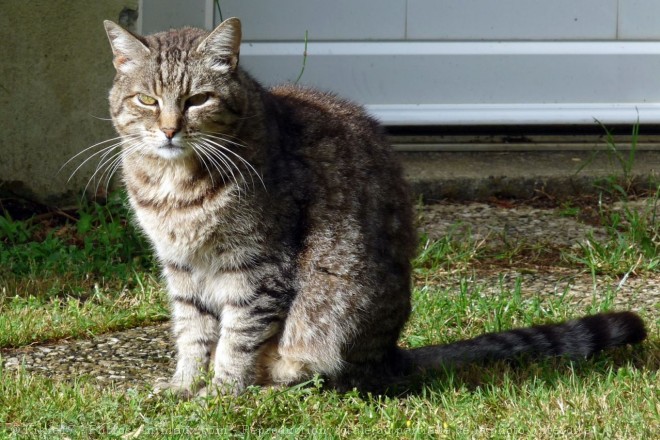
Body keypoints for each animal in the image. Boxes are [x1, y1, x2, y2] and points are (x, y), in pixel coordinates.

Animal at [100, 16, 648, 396]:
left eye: (197, 100)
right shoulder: (181, 268)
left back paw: (278, 381)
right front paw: (183, 386)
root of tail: (391, 352)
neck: (174, 186)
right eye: (147, 100)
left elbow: (237, 337)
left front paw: (221, 392)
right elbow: (192, 333)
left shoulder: (257, 267)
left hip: (333, 309)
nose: (169, 129)